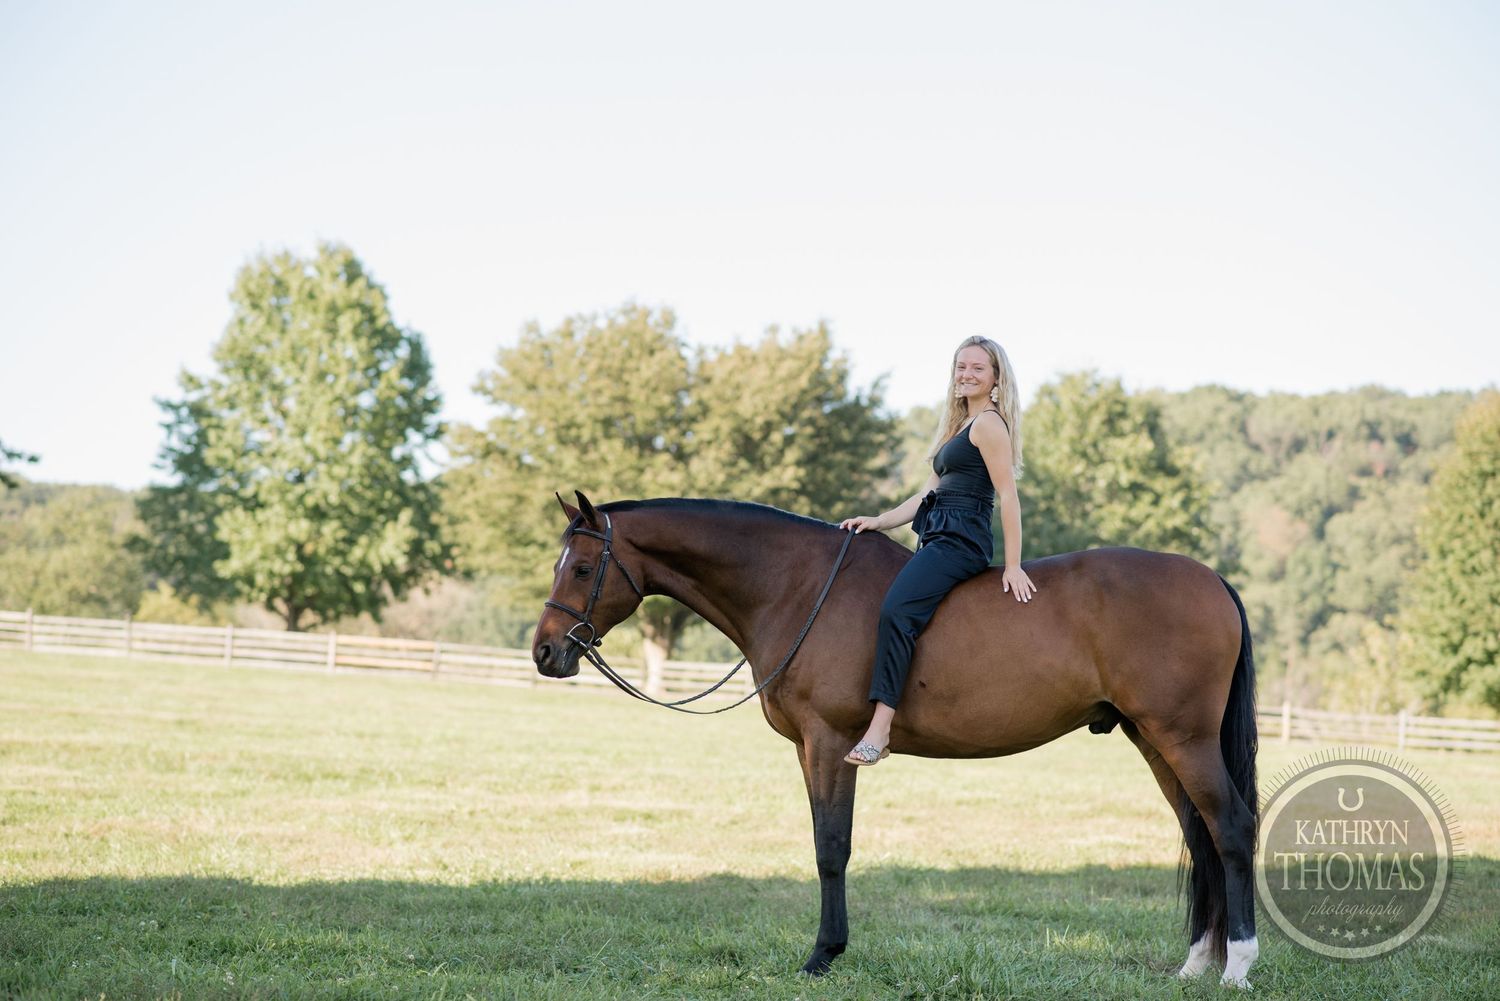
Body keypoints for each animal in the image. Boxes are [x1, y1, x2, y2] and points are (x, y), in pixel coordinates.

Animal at [532, 491, 1260, 988]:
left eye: (584, 567)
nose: (544, 652)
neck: (799, 589)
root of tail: (1213, 580)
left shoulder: (830, 744)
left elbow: (831, 848)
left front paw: (822, 954)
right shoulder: (809, 750)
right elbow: (825, 844)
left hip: (1183, 737)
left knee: (1229, 828)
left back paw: (1238, 965)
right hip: (1155, 739)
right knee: (1199, 835)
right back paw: (1198, 962)